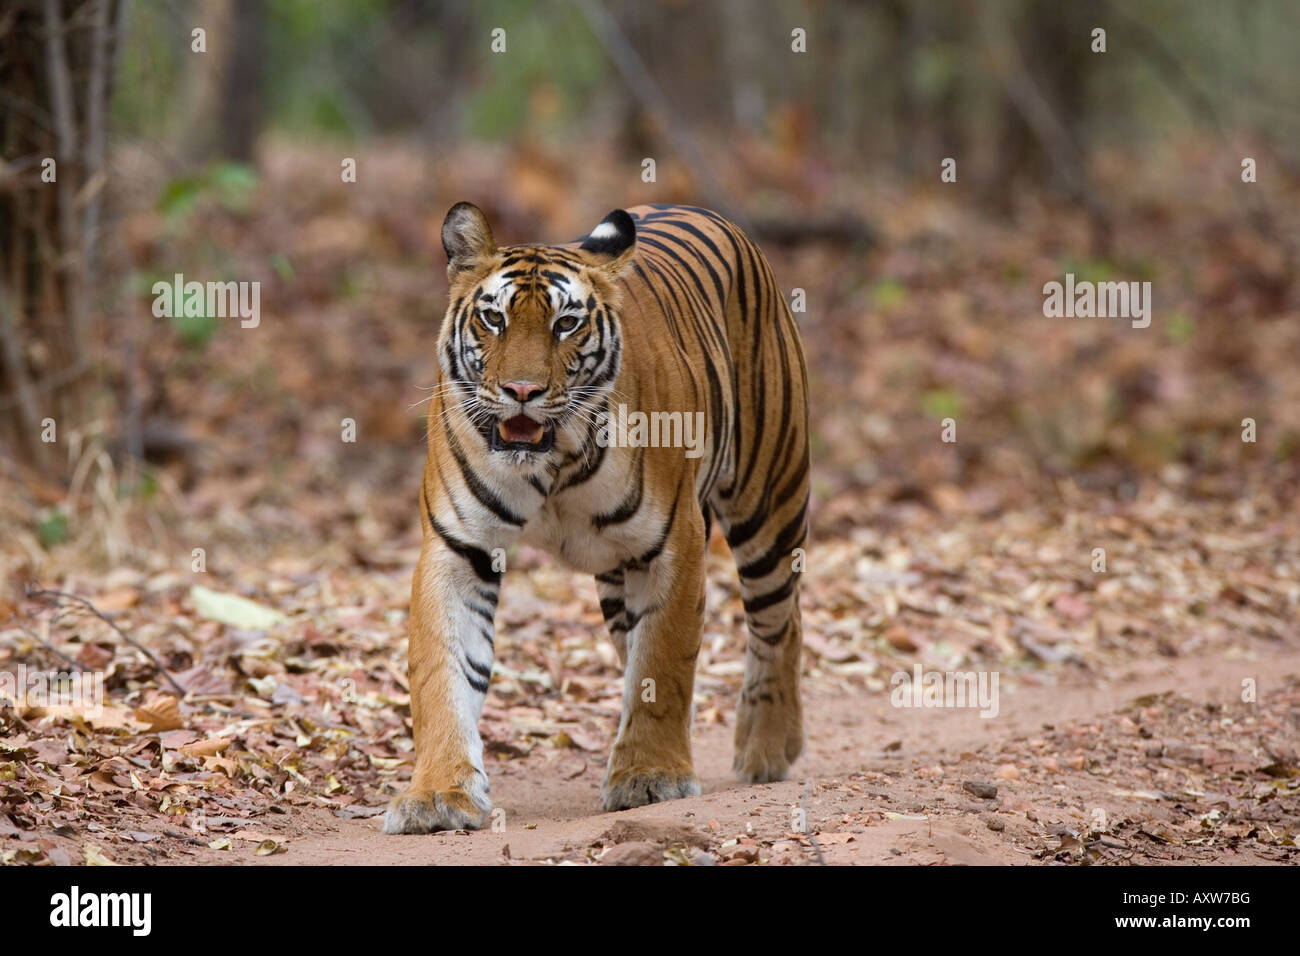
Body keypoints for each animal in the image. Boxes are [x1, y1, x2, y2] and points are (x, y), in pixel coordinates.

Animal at [384, 200, 806, 832]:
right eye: (493, 319)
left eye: (565, 324)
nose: (523, 390)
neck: (550, 463)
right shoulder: (458, 548)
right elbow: (442, 674)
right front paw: (437, 795)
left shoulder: (674, 544)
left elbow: (663, 664)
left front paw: (651, 776)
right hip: (616, 576)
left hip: (769, 502)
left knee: (781, 619)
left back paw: (769, 748)